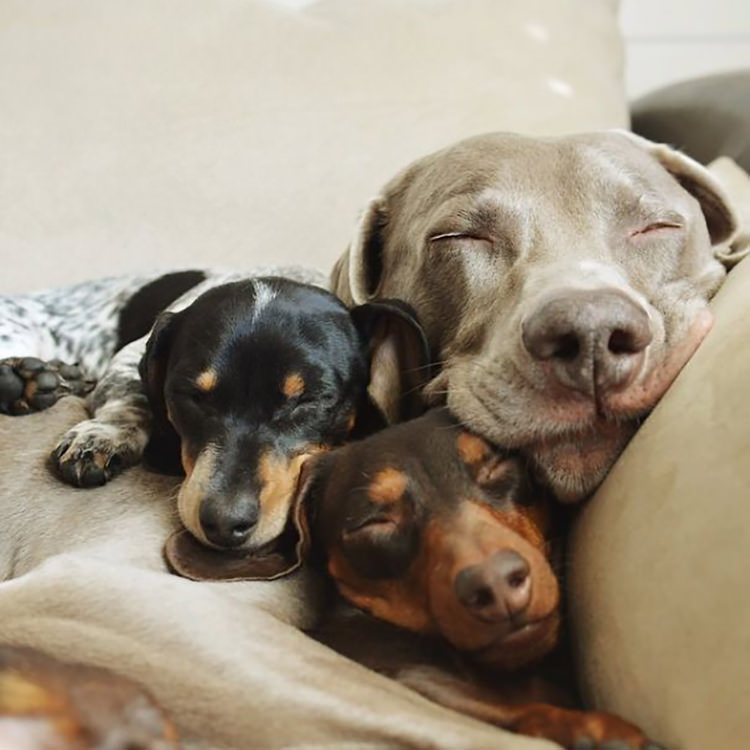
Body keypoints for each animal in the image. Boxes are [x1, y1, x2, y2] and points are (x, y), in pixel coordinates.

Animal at [0, 270, 428, 552]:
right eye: (192, 396)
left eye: (309, 400)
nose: (224, 524)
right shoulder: (127, 358)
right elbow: (128, 398)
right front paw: (103, 435)